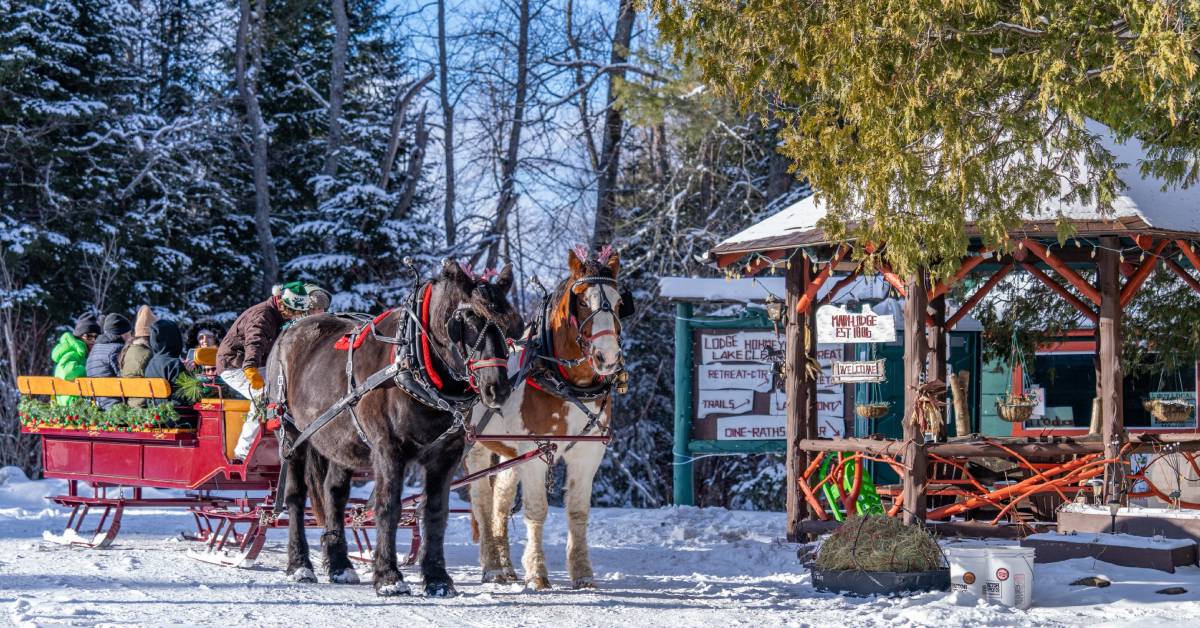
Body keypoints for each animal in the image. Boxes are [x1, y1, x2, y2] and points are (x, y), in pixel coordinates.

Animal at [267, 262, 520, 597]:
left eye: (511, 323)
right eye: (463, 321)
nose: (497, 388)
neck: (414, 364)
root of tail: (290, 330)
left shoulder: (446, 455)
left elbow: (435, 512)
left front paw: (438, 579)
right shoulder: (388, 449)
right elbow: (388, 508)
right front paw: (389, 577)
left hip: (339, 442)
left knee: (334, 493)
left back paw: (341, 566)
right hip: (292, 435)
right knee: (296, 497)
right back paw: (300, 565)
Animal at [460, 246, 624, 590]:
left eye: (619, 303)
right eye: (582, 301)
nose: (608, 357)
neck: (566, 384)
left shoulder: (588, 454)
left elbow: (578, 512)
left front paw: (583, 573)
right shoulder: (536, 452)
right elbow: (536, 511)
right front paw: (537, 573)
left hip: (510, 451)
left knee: (500, 500)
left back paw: (506, 566)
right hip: (477, 445)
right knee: (482, 501)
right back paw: (491, 566)